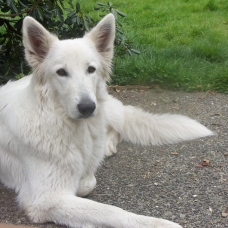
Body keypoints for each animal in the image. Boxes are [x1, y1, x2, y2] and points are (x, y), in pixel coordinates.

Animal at [0, 13, 214, 227]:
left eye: (91, 69)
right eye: (61, 72)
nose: (87, 107)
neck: (73, 128)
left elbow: (90, 181)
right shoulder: (46, 198)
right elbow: (110, 210)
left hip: (107, 110)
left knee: (116, 128)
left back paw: (107, 145)